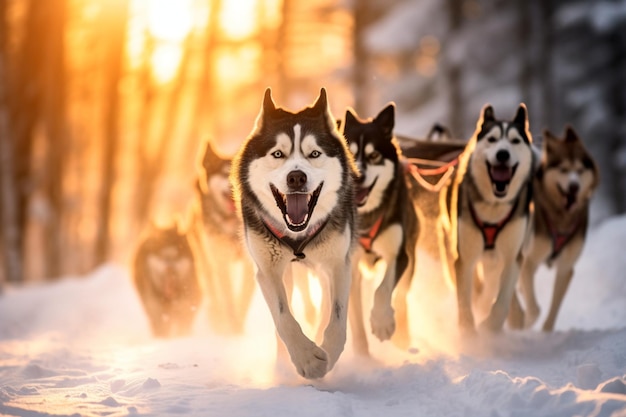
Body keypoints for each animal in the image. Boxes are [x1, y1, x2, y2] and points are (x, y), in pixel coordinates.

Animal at [186, 141, 255, 334]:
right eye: (224, 173)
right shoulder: (220, 262)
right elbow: (227, 299)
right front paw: (231, 327)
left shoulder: (250, 265)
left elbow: (243, 298)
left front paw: (238, 327)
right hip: (206, 263)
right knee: (214, 293)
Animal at [229, 88, 356, 380]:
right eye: (278, 154)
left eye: (314, 153)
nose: (296, 177)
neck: (298, 235)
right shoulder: (268, 269)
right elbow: (284, 316)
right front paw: (307, 360)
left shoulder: (338, 263)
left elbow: (336, 317)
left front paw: (326, 354)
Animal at [338, 105, 416, 354]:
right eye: (349, 153)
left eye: (374, 156)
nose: (358, 176)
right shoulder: (349, 265)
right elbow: (354, 315)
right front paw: (363, 354)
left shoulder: (399, 255)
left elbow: (383, 289)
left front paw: (382, 323)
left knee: (401, 295)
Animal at [442, 104, 532, 334]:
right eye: (492, 139)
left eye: (515, 141)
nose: (502, 154)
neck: (493, 207)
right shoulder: (465, 256)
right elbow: (465, 299)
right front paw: (468, 333)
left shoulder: (512, 257)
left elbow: (501, 300)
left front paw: (490, 327)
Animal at [512, 125, 596, 330]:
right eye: (563, 169)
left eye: (580, 170)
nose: (574, 186)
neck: (561, 217)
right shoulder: (528, 261)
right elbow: (534, 309)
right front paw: (525, 321)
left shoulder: (566, 267)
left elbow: (553, 309)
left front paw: (545, 330)